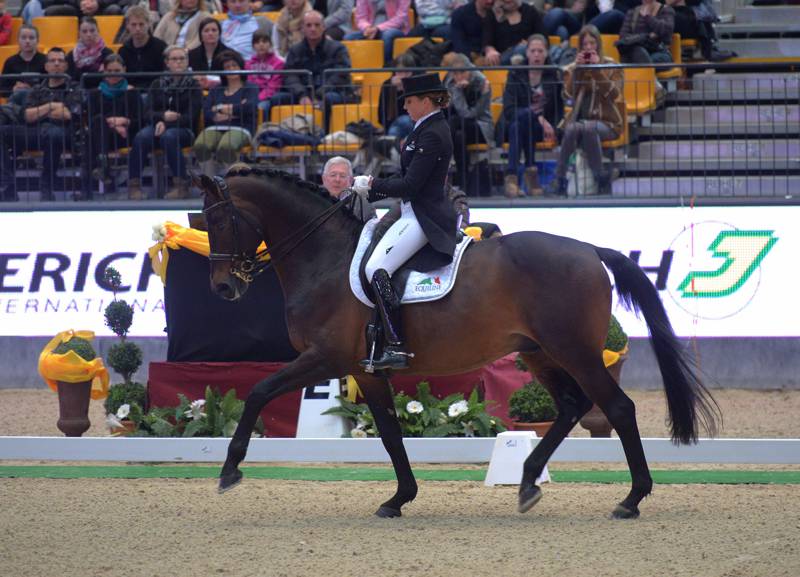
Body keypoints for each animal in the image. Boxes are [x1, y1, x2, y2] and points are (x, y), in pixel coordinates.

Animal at [198, 164, 720, 520]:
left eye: (219, 221)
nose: (223, 288)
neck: (324, 257)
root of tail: (590, 249)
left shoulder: (324, 357)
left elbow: (259, 392)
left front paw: (230, 471)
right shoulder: (366, 370)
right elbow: (390, 433)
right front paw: (398, 498)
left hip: (573, 350)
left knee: (617, 408)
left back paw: (631, 499)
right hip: (538, 352)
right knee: (572, 407)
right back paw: (527, 482)